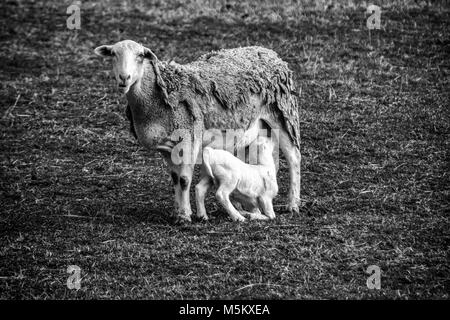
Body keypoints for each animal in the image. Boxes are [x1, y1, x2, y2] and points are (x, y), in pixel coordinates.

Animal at [93, 40, 300, 222]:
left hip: (282, 115)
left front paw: (185, 216)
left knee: (293, 158)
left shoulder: (189, 137)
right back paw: (247, 207)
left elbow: (184, 179)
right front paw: (178, 212)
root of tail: (268, 51)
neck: (158, 98)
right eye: (113, 54)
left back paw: (292, 204)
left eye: (141, 56)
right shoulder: (167, 146)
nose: (124, 78)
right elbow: (175, 178)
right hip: (253, 129)